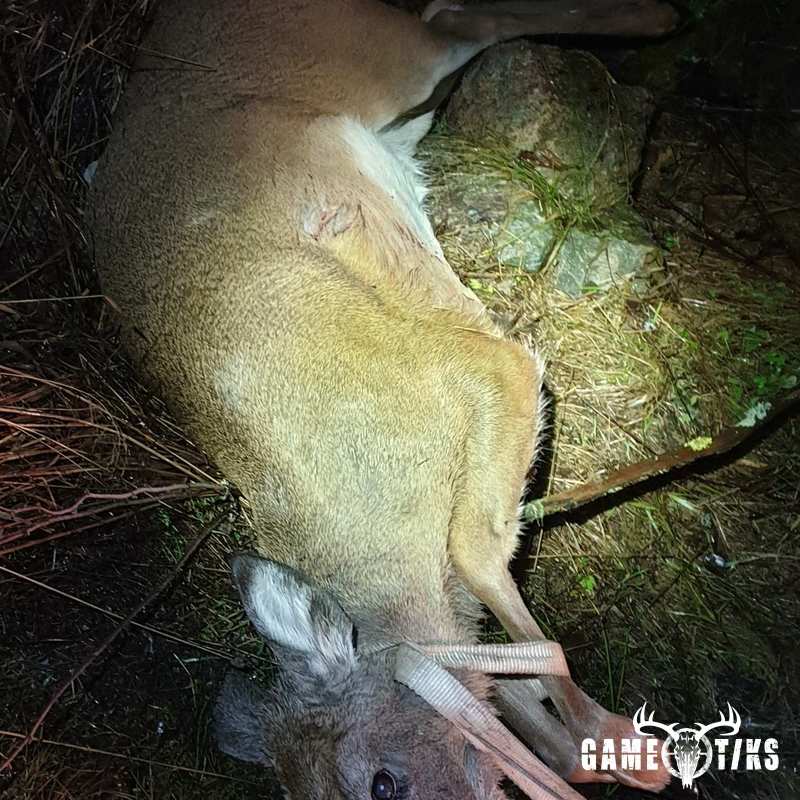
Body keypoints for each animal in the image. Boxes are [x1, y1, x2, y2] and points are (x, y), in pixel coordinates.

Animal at [91, 1, 680, 798]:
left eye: (380, 781)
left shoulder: (481, 365)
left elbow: (476, 552)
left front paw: (619, 740)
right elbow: (502, 686)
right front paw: (597, 745)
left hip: (380, 56)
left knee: (461, 19)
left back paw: (660, 20)